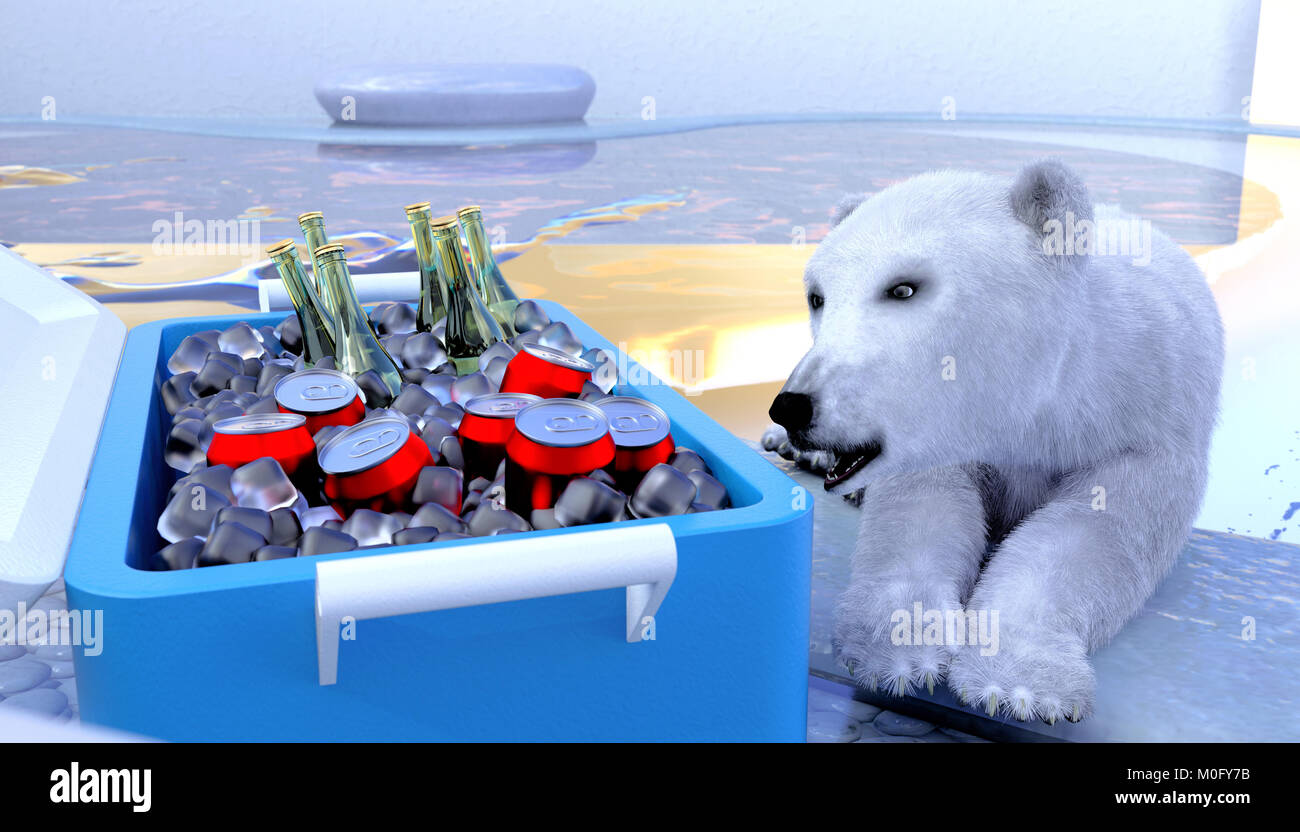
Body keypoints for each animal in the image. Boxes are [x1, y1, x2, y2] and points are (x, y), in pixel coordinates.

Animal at [769, 161, 1227, 722]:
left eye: (903, 289)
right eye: (817, 297)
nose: (793, 407)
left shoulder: (1141, 419)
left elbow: (1092, 533)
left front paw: (1020, 685)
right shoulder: (941, 430)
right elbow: (922, 512)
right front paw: (901, 649)